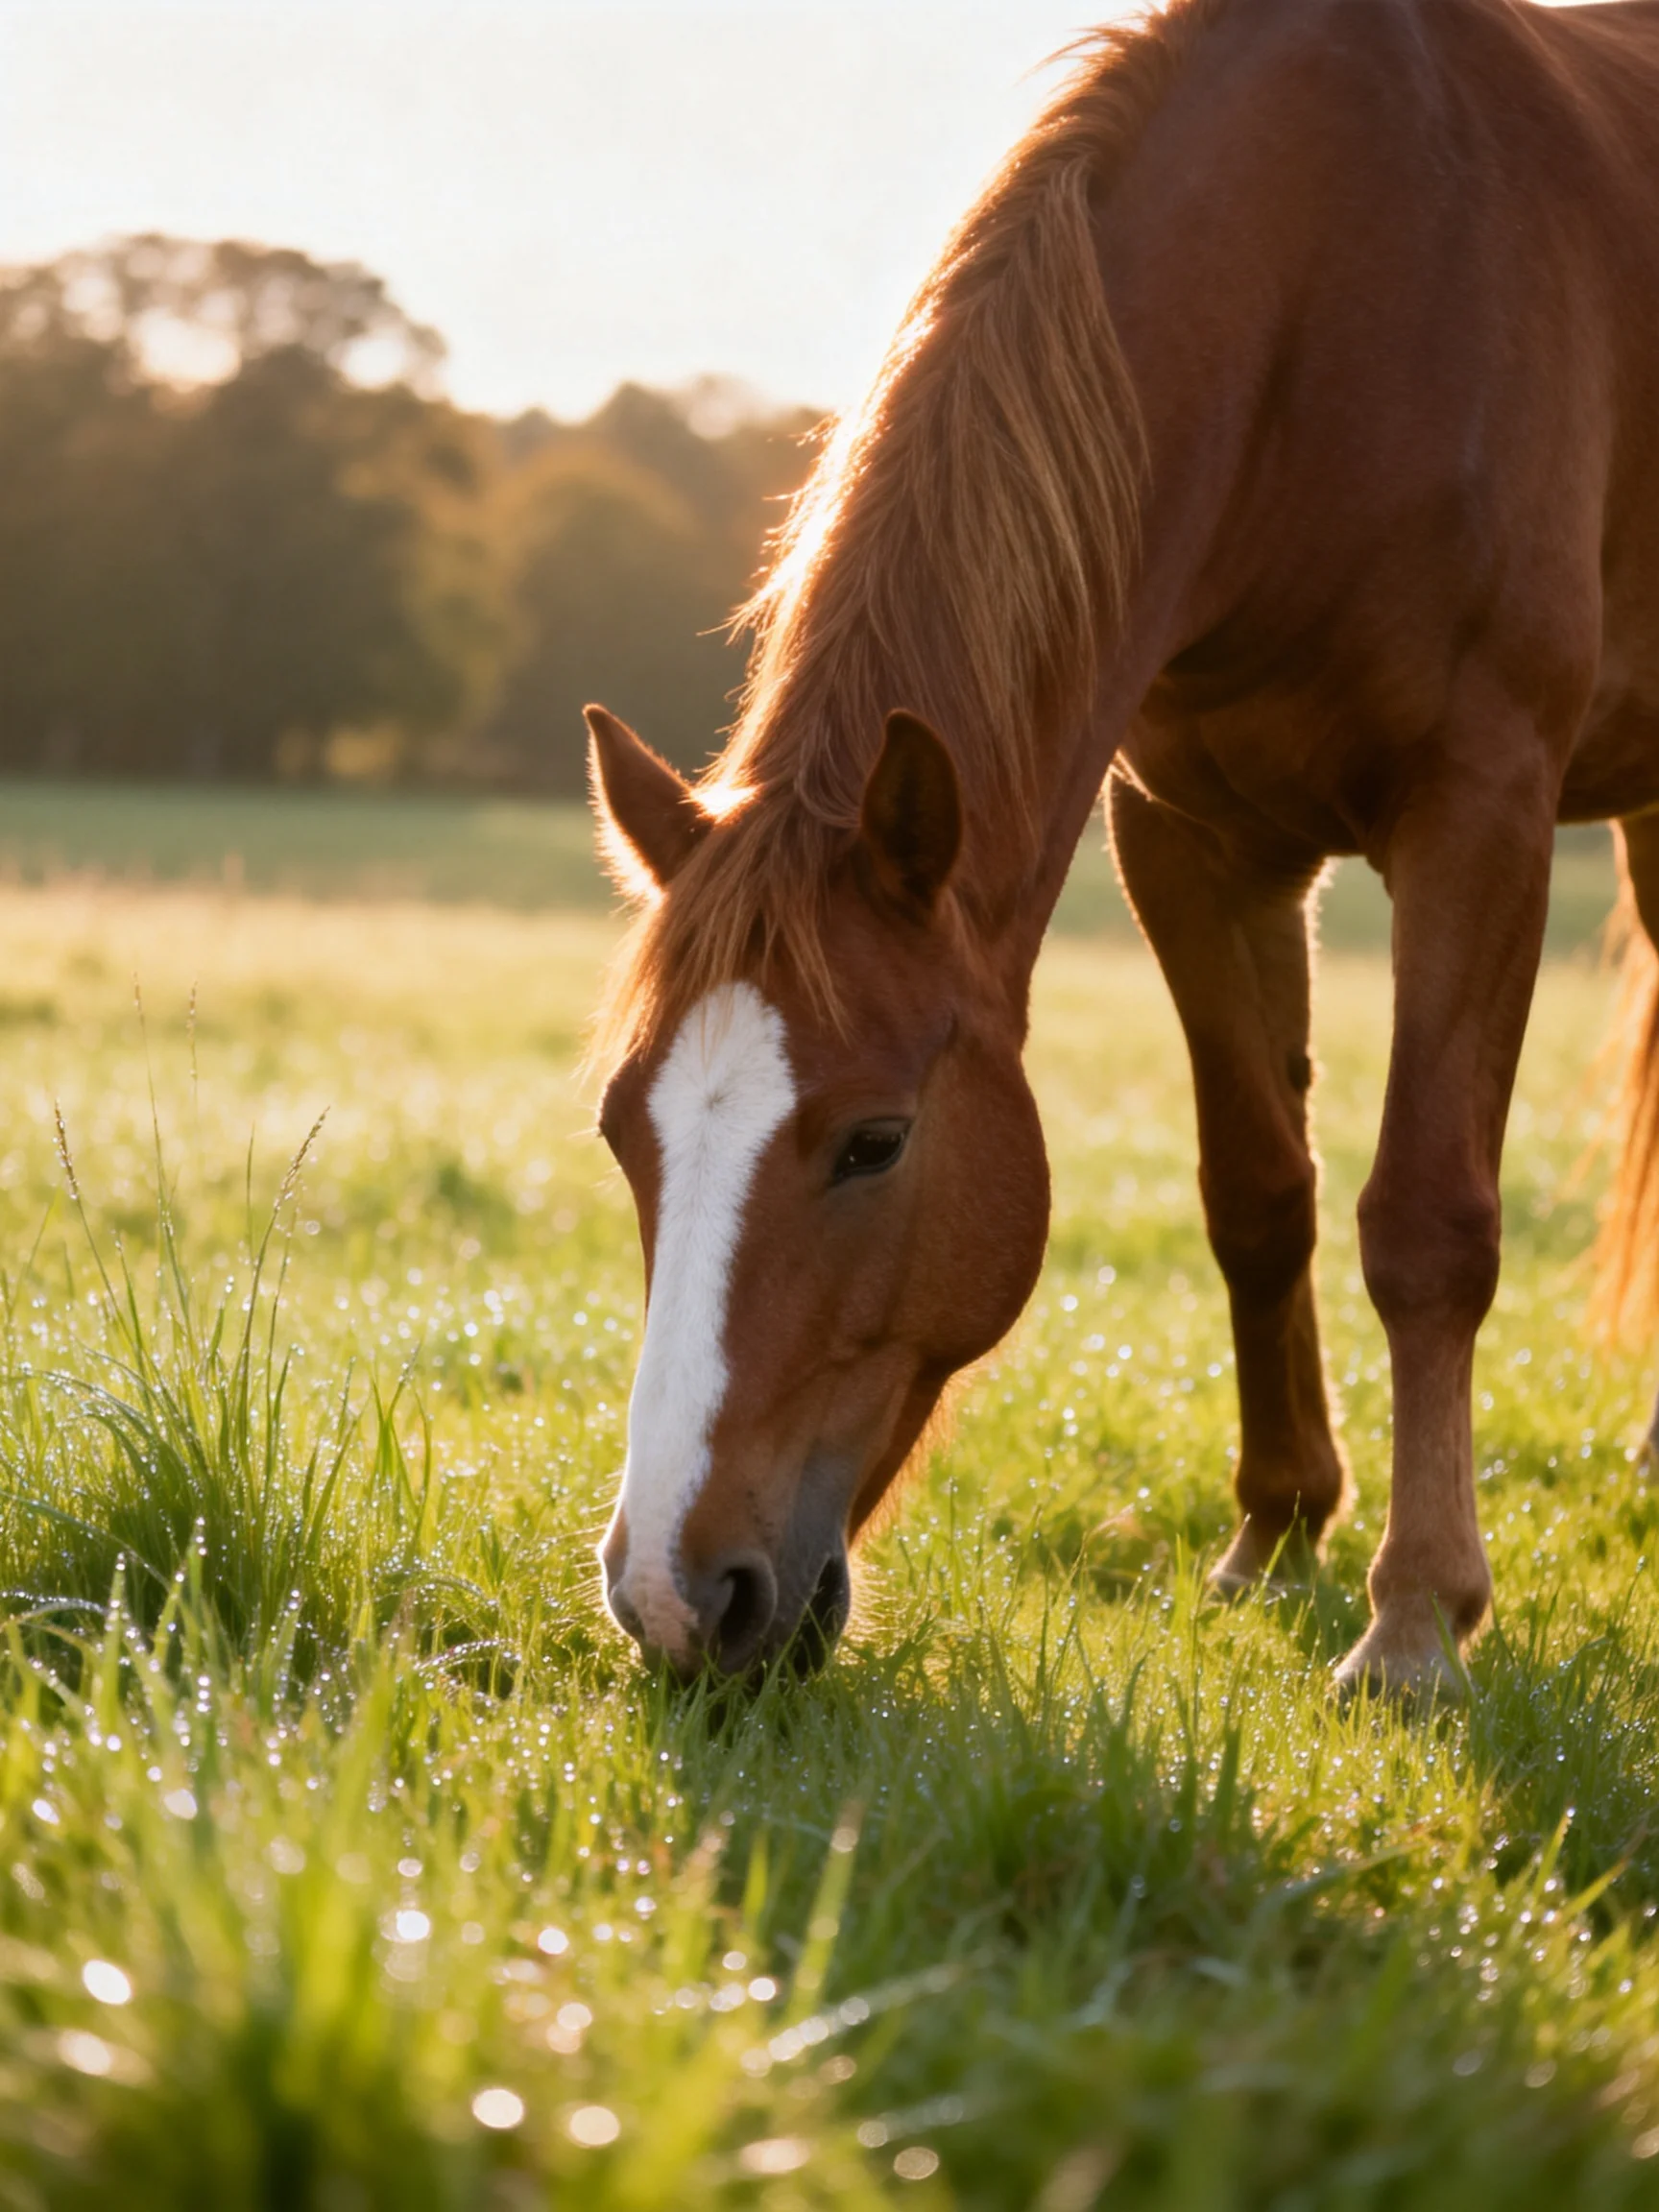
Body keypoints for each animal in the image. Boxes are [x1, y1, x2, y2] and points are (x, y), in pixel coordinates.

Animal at [584, 0, 1659, 1696]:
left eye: (875, 1141)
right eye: (628, 1131)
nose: (677, 1602)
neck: (1342, 289)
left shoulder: (1477, 812)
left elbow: (1426, 1222)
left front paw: (1415, 1619)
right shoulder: (1192, 840)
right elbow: (1259, 1193)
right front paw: (1274, 1534)